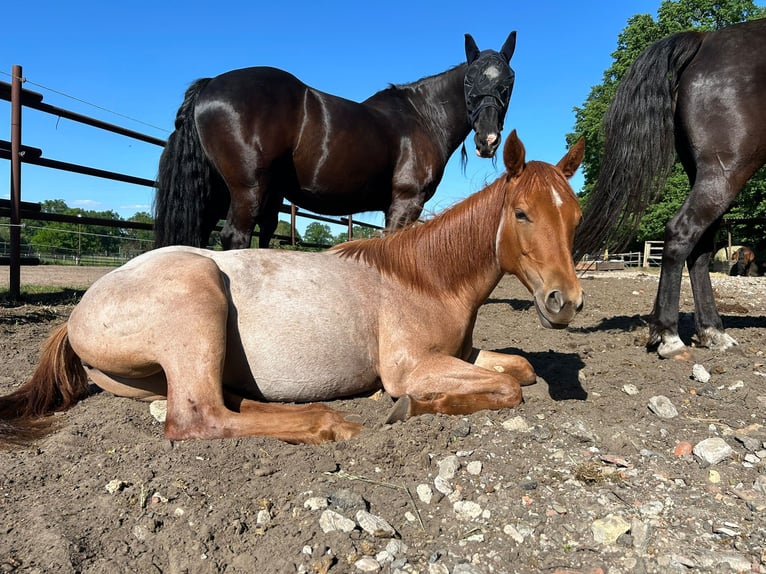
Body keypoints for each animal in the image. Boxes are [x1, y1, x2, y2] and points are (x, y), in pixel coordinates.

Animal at [1, 133, 588, 448]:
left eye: (576, 216)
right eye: (521, 214)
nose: (566, 303)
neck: (424, 280)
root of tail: (77, 314)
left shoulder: (460, 355)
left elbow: (521, 370)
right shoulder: (411, 367)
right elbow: (508, 388)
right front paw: (412, 407)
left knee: (225, 402)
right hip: (199, 297)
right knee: (199, 418)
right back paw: (330, 424)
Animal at [154, 33, 516, 250]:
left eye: (509, 81)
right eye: (469, 80)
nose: (488, 139)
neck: (423, 116)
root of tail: (209, 85)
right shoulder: (406, 202)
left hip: (220, 192)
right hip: (247, 191)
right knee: (234, 239)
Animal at [576, 19, 766, 360]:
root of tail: (706, 39)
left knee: (700, 249)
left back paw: (712, 332)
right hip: (725, 171)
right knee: (681, 233)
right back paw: (670, 336)